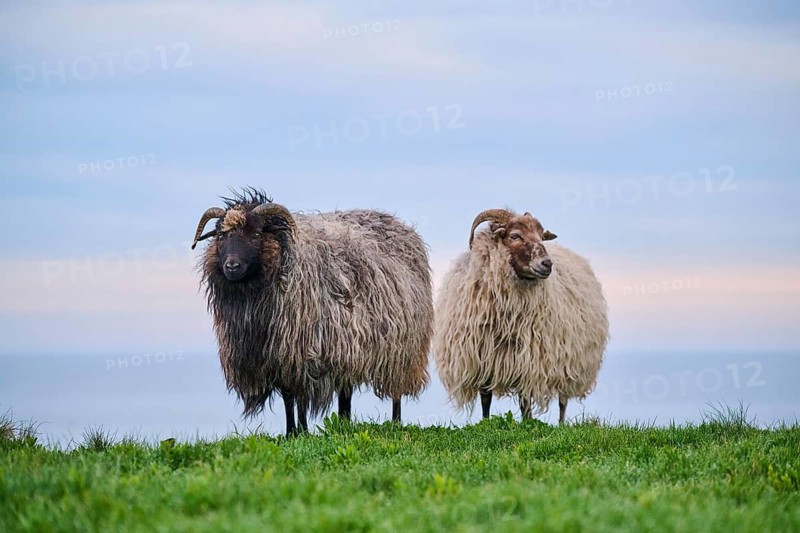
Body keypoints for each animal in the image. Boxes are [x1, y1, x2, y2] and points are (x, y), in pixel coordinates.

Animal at [192, 188, 433, 436]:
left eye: (257, 233)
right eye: (222, 236)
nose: (232, 266)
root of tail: (396, 223)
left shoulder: (302, 351)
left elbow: (300, 397)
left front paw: (303, 431)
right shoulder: (278, 357)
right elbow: (288, 398)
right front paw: (291, 433)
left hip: (402, 350)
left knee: (396, 391)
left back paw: (396, 422)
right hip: (348, 348)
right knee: (345, 392)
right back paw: (344, 422)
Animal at [432, 209, 608, 424]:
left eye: (541, 236)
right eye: (515, 235)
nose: (547, 264)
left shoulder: (529, 361)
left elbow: (525, 401)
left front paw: (527, 423)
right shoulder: (483, 359)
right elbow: (485, 398)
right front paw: (485, 423)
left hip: (569, 362)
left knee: (563, 400)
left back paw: (561, 424)